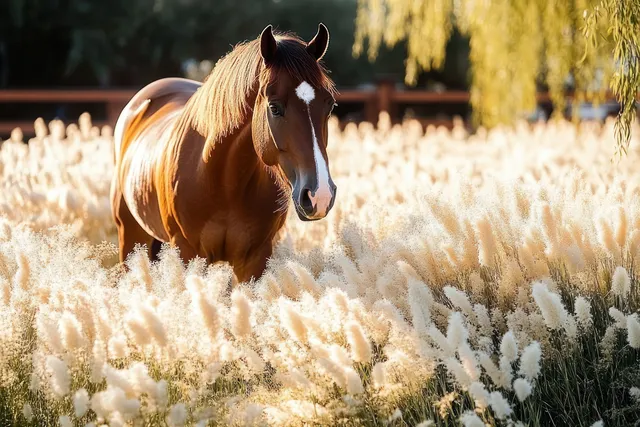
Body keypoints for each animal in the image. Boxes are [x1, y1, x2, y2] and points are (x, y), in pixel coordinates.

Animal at [110, 23, 338, 284]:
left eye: (329, 105)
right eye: (274, 107)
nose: (320, 196)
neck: (222, 181)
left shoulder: (255, 260)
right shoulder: (186, 253)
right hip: (130, 238)